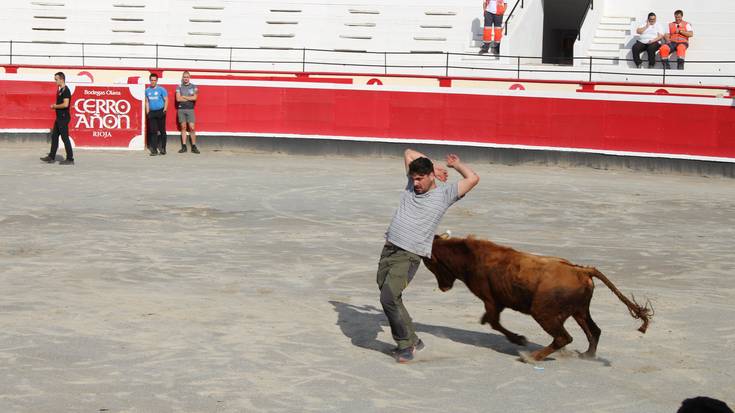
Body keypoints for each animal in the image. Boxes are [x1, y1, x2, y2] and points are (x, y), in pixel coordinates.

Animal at [422, 235, 652, 360]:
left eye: (431, 263)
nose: (443, 287)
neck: (471, 257)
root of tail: (581, 270)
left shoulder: (490, 300)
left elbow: (494, 322)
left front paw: (519, 339)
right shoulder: (497, 302)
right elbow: (490, 321)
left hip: (543, 312)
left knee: (564, 337)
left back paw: (531, 357)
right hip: (580, 311)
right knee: (593, 331)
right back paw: (587, 355)